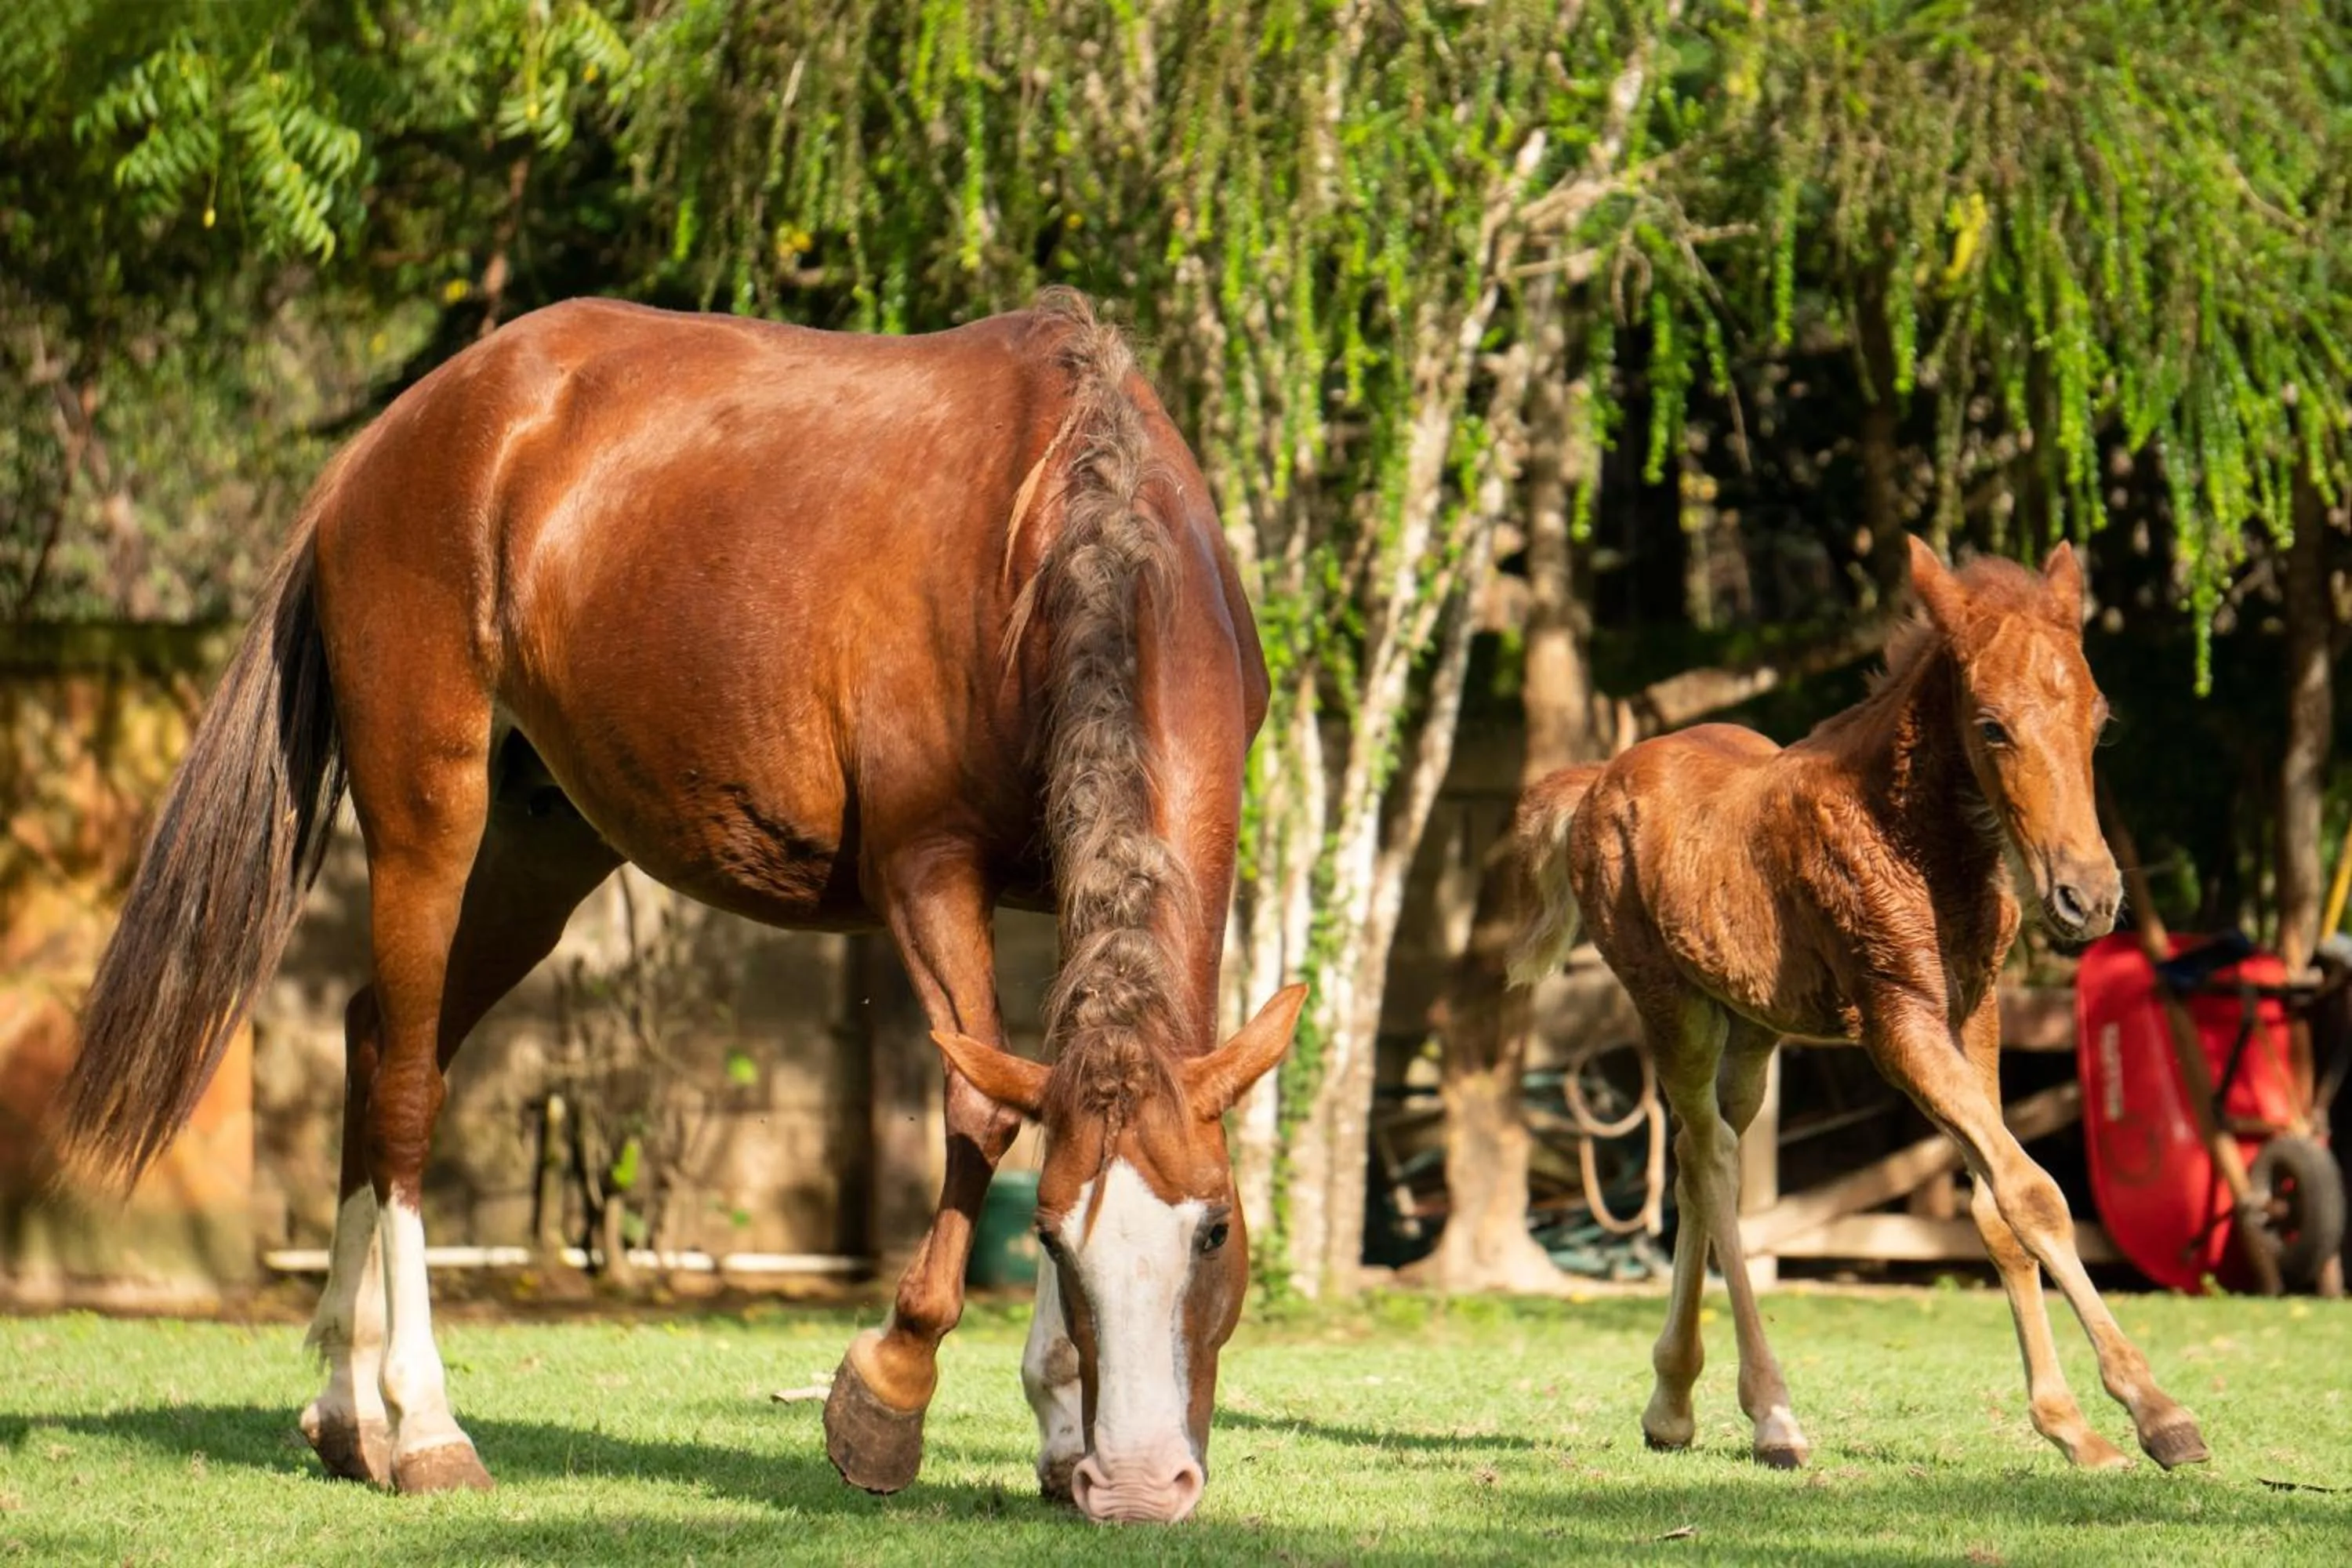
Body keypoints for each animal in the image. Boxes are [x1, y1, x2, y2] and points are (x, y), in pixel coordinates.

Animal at [57, 289, 1304, 1525]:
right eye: (1055, 1238)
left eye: (1216, 1228)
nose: (1139, 1483)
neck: (1053, 530)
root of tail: (391, 438)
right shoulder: (928, 866)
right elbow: (983, 1110)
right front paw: (888, 1396)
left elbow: (1045, 1093)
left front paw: (1056, 1423)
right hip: (427, 805)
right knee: (405, 1084)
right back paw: (420, 1422)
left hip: (541, 847)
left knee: (373, 1040)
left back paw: (343, 1408)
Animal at [1506, 537, 2208, 1474]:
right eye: (1991, 724)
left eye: (2099, 720)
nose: (2086, 897)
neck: (1922, 847)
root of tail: (1592, 782)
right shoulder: (1896, 1018)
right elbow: (2032, 1190)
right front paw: (2156, 1410)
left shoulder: (1975, 1011)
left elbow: (1994, 1202)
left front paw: (2070, 1424)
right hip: (1669, 1002)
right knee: (1713, 1160)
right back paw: (1771, 1413)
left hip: (1753, 1029)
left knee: (1700, 1156)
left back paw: (1673, 1405)